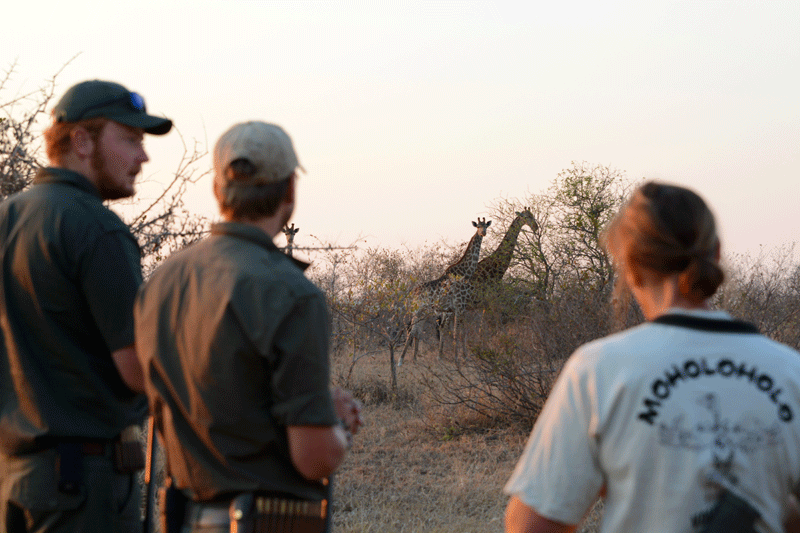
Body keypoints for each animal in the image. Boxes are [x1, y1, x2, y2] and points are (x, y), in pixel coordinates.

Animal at [398, 218, 491, 366]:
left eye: (486, 226)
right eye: (478, 226)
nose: (483, 233)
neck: (465, 273)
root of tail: (412, 293)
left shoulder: (455, 308)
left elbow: (455, 331)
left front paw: (455, 358)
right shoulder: (458, 307)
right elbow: (456, 332)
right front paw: (456, 360)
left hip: (424, 311)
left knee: (416, 330)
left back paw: (414, 358)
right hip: (417, 309)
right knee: (411, 330)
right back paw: (401, 360)